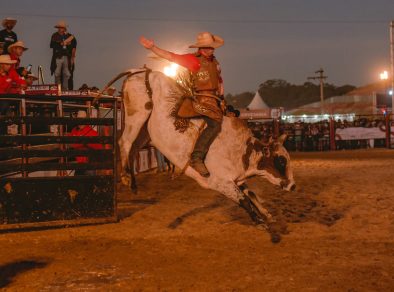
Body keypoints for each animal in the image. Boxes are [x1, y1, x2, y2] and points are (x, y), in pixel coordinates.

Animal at [104, 68, 296, 240]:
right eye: (280, 160)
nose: (293, 186)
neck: (242, 152)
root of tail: (139, 71)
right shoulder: (220, 182)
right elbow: (244, 200)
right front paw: (261, 222)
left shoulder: (236, 180)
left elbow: (252, 195)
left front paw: (267, 214)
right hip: (137, 116)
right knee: (124, 142)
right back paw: (126, 177)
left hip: (145, 131)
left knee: (133, 149)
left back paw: (132, 183)